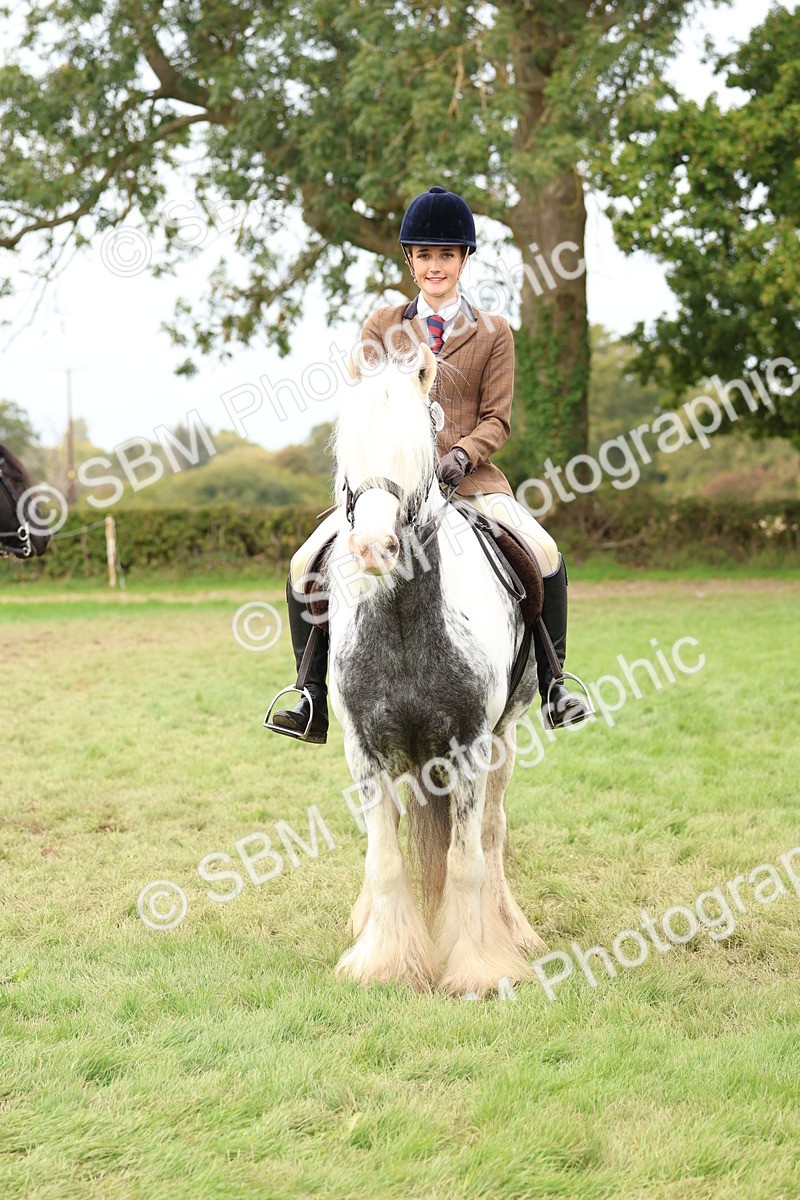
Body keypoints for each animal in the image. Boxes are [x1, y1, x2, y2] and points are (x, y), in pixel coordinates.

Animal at [325, 342, 546, 997]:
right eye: (349, 455)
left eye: (417, 452)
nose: (373, 548)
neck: (404, 621)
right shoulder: (364, 751)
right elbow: (386, 859)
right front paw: (384, 963)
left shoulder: (471, 746)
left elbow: (466, 860)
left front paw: (477, 968)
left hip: (505, 738)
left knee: (492, 831)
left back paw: (512, 929)